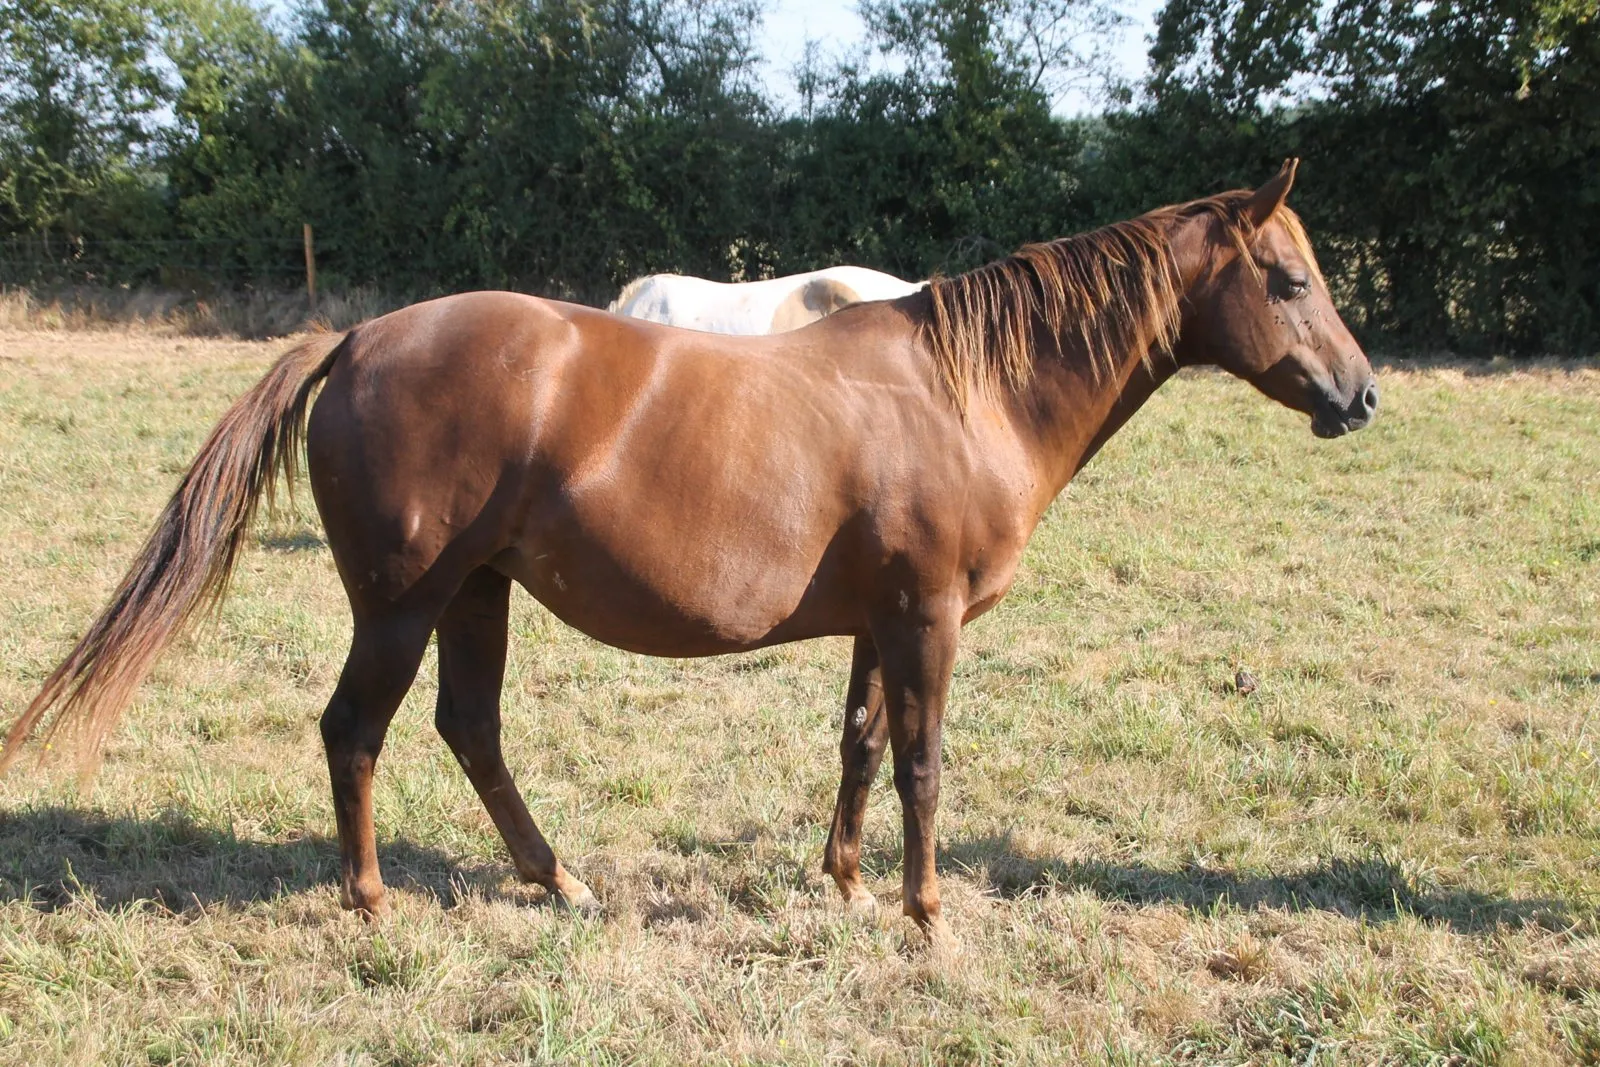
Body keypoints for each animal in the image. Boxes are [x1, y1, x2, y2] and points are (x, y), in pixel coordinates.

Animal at [2, 162, 1377, 948]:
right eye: (1286, 278)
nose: (1360, 396)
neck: (960, 390)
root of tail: (357, 339)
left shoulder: (878, 619)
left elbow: (860, 746)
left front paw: (847, 885)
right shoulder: (925, 617)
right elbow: (925, 762)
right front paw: (929, 914)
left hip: (478, 593)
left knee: (468, 730)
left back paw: (557, 880)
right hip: (402, 603)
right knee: (357, 730)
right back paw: (372, 898)